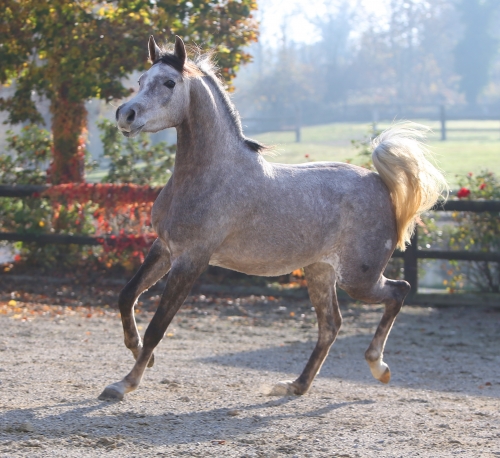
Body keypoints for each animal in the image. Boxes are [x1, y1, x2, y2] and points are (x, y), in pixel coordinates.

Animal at [96, 36, 446, 400]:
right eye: (140, 80)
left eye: (169, 82)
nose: (126, 114)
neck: (210, 176)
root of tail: (380, 182)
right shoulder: (164, 248)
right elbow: (126, 296)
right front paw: (140, 355)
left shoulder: (191, 260)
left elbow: (158, 326)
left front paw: (124, 383)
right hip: (320, 271)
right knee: (330, 325)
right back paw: (296, 385)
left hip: (359, 278)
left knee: (398, 291)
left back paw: (378, 367)